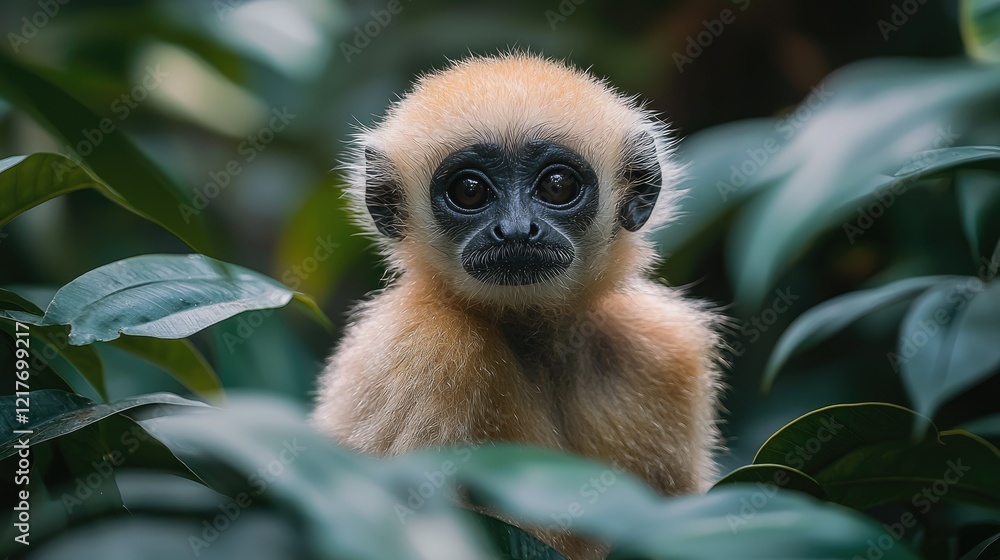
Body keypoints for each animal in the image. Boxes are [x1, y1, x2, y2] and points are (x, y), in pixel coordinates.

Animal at [311, 52, 722, 558]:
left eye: (558, 185)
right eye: (469, 190)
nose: (515, 230)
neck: (533, 342)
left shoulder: (662, 353)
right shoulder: (422, 350)